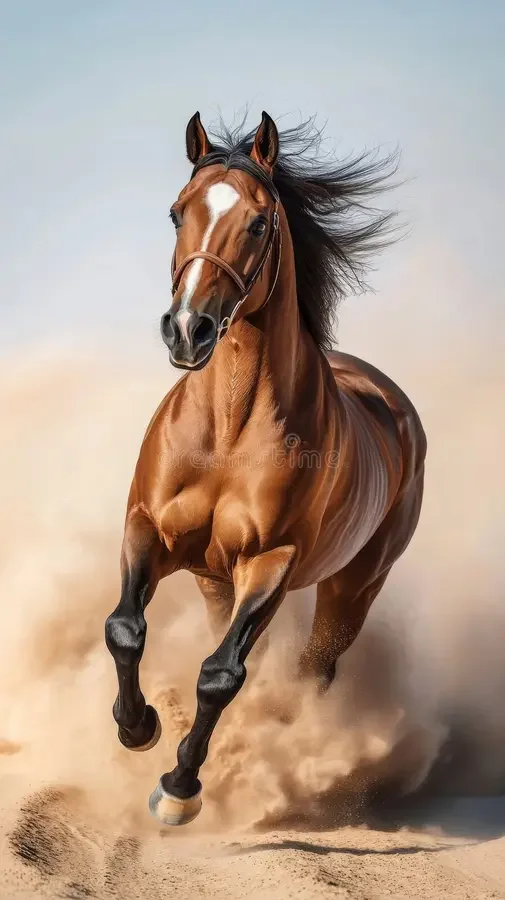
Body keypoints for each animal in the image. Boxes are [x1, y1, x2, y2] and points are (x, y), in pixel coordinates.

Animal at [105, 111, 427, 826]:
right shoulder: (148, 530)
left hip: (352, 587)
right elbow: (125, 628)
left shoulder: (270, 562)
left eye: (257, 223)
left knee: (312, 670)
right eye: (178, 212)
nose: (187, 330)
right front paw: (138, 727)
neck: (227, 435)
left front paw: (179, 790)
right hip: (212, 580)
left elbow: (221, 674)